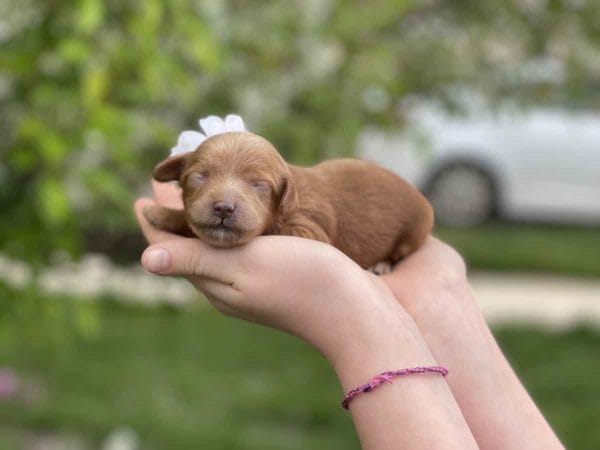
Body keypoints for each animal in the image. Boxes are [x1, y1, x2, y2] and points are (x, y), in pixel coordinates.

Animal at [145, 131, 436, 270]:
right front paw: (161, 213)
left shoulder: (310, 229)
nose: (223, 208)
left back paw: (382, 265)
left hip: (414, 231)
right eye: (199, 177)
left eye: (259, 185)